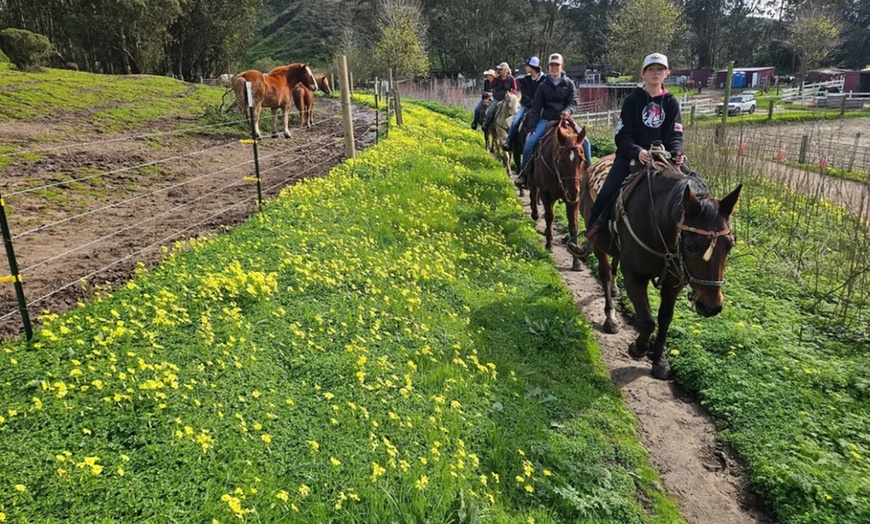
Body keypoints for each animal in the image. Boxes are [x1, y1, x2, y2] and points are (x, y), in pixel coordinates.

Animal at [529, 116, 588, 272]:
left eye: (582, 159)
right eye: (561, 160)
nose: (573, 192)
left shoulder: (574, 201)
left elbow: (573, 225)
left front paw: (576, 260)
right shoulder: (545, 194)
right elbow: (550, 217)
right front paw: (548, 244)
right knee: (533, 192)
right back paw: (535, 214)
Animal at [578, 150, 742, 379]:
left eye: (730, 245)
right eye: (690, 246)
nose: (711, 306)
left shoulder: (674, 282)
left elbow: (665, 318)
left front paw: (660, 359)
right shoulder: (634, 275)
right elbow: (647, 320)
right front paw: (638, 348)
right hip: (599, 245)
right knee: (605, 273)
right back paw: (610, 318)